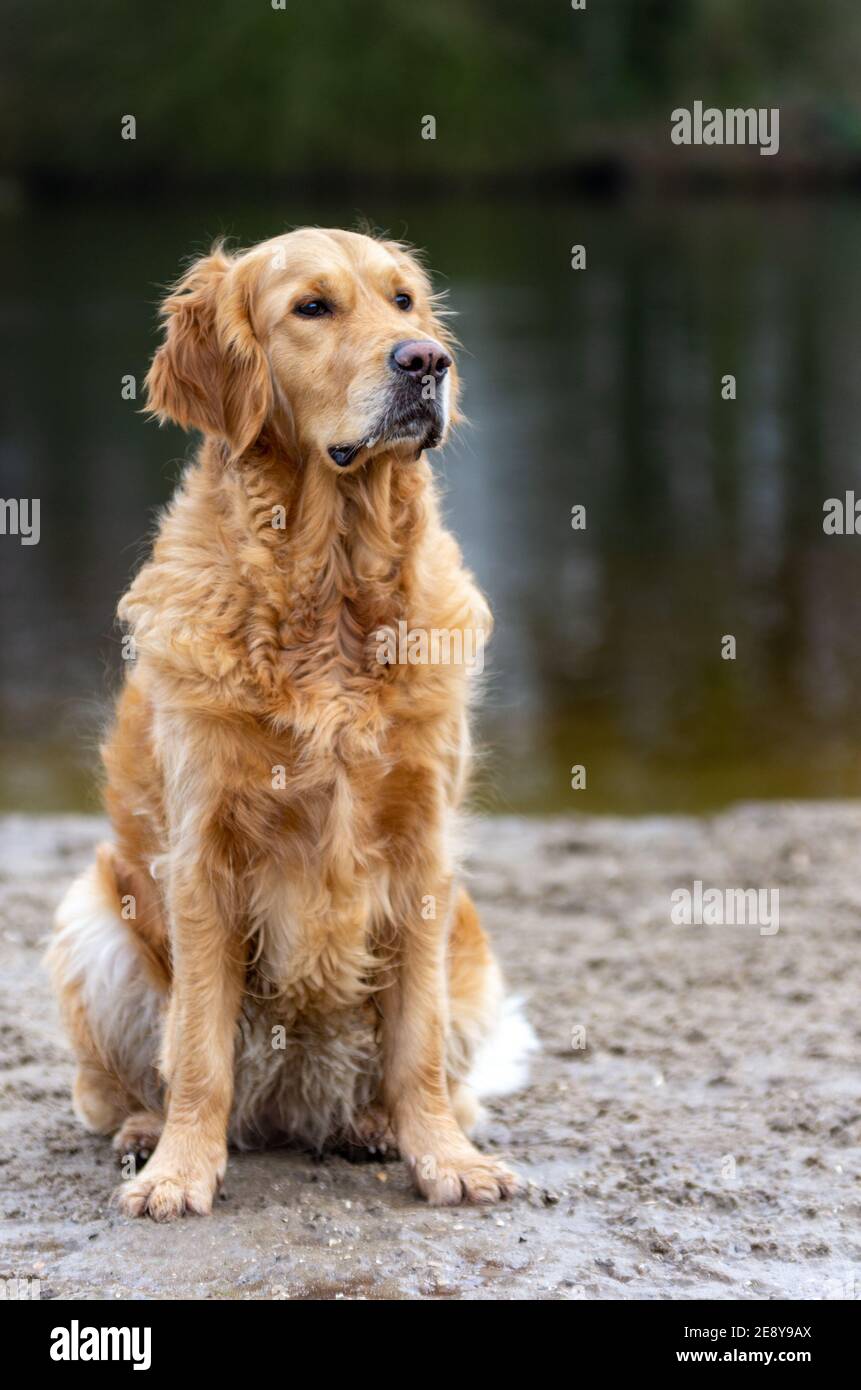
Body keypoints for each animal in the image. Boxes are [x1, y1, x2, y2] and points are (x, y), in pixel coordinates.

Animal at [48, 227, 531, 1217]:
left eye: (403, 301)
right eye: (312, 307)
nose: (427, 362)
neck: (331, 590)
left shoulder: (423, 847)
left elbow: (417, 1045)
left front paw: (444, 1158)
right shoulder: (202, 851)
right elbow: (197, 1047)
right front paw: (182, 1169)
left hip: (472, 953)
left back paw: (376, 1125)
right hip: (92, 918)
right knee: (122, 1083)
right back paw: (147, 1132)